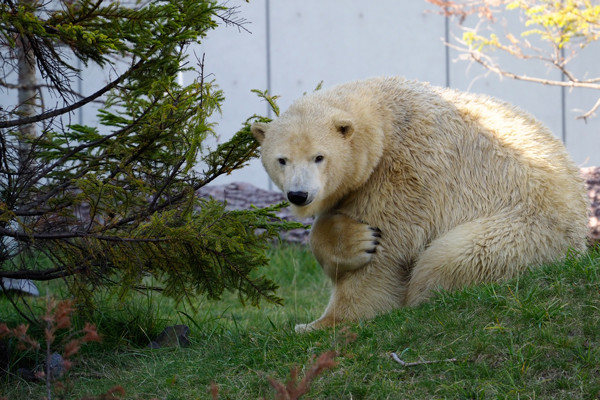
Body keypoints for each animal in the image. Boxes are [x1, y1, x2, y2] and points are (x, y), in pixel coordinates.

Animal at [251, 77, 588, 332]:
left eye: (319, 157)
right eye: (281, 159)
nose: (299, 195)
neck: (385, 115)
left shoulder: (404, 172)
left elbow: (385, 255)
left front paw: (320, 324)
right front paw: (354, 240)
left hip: (525, 230)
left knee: (451, 257)